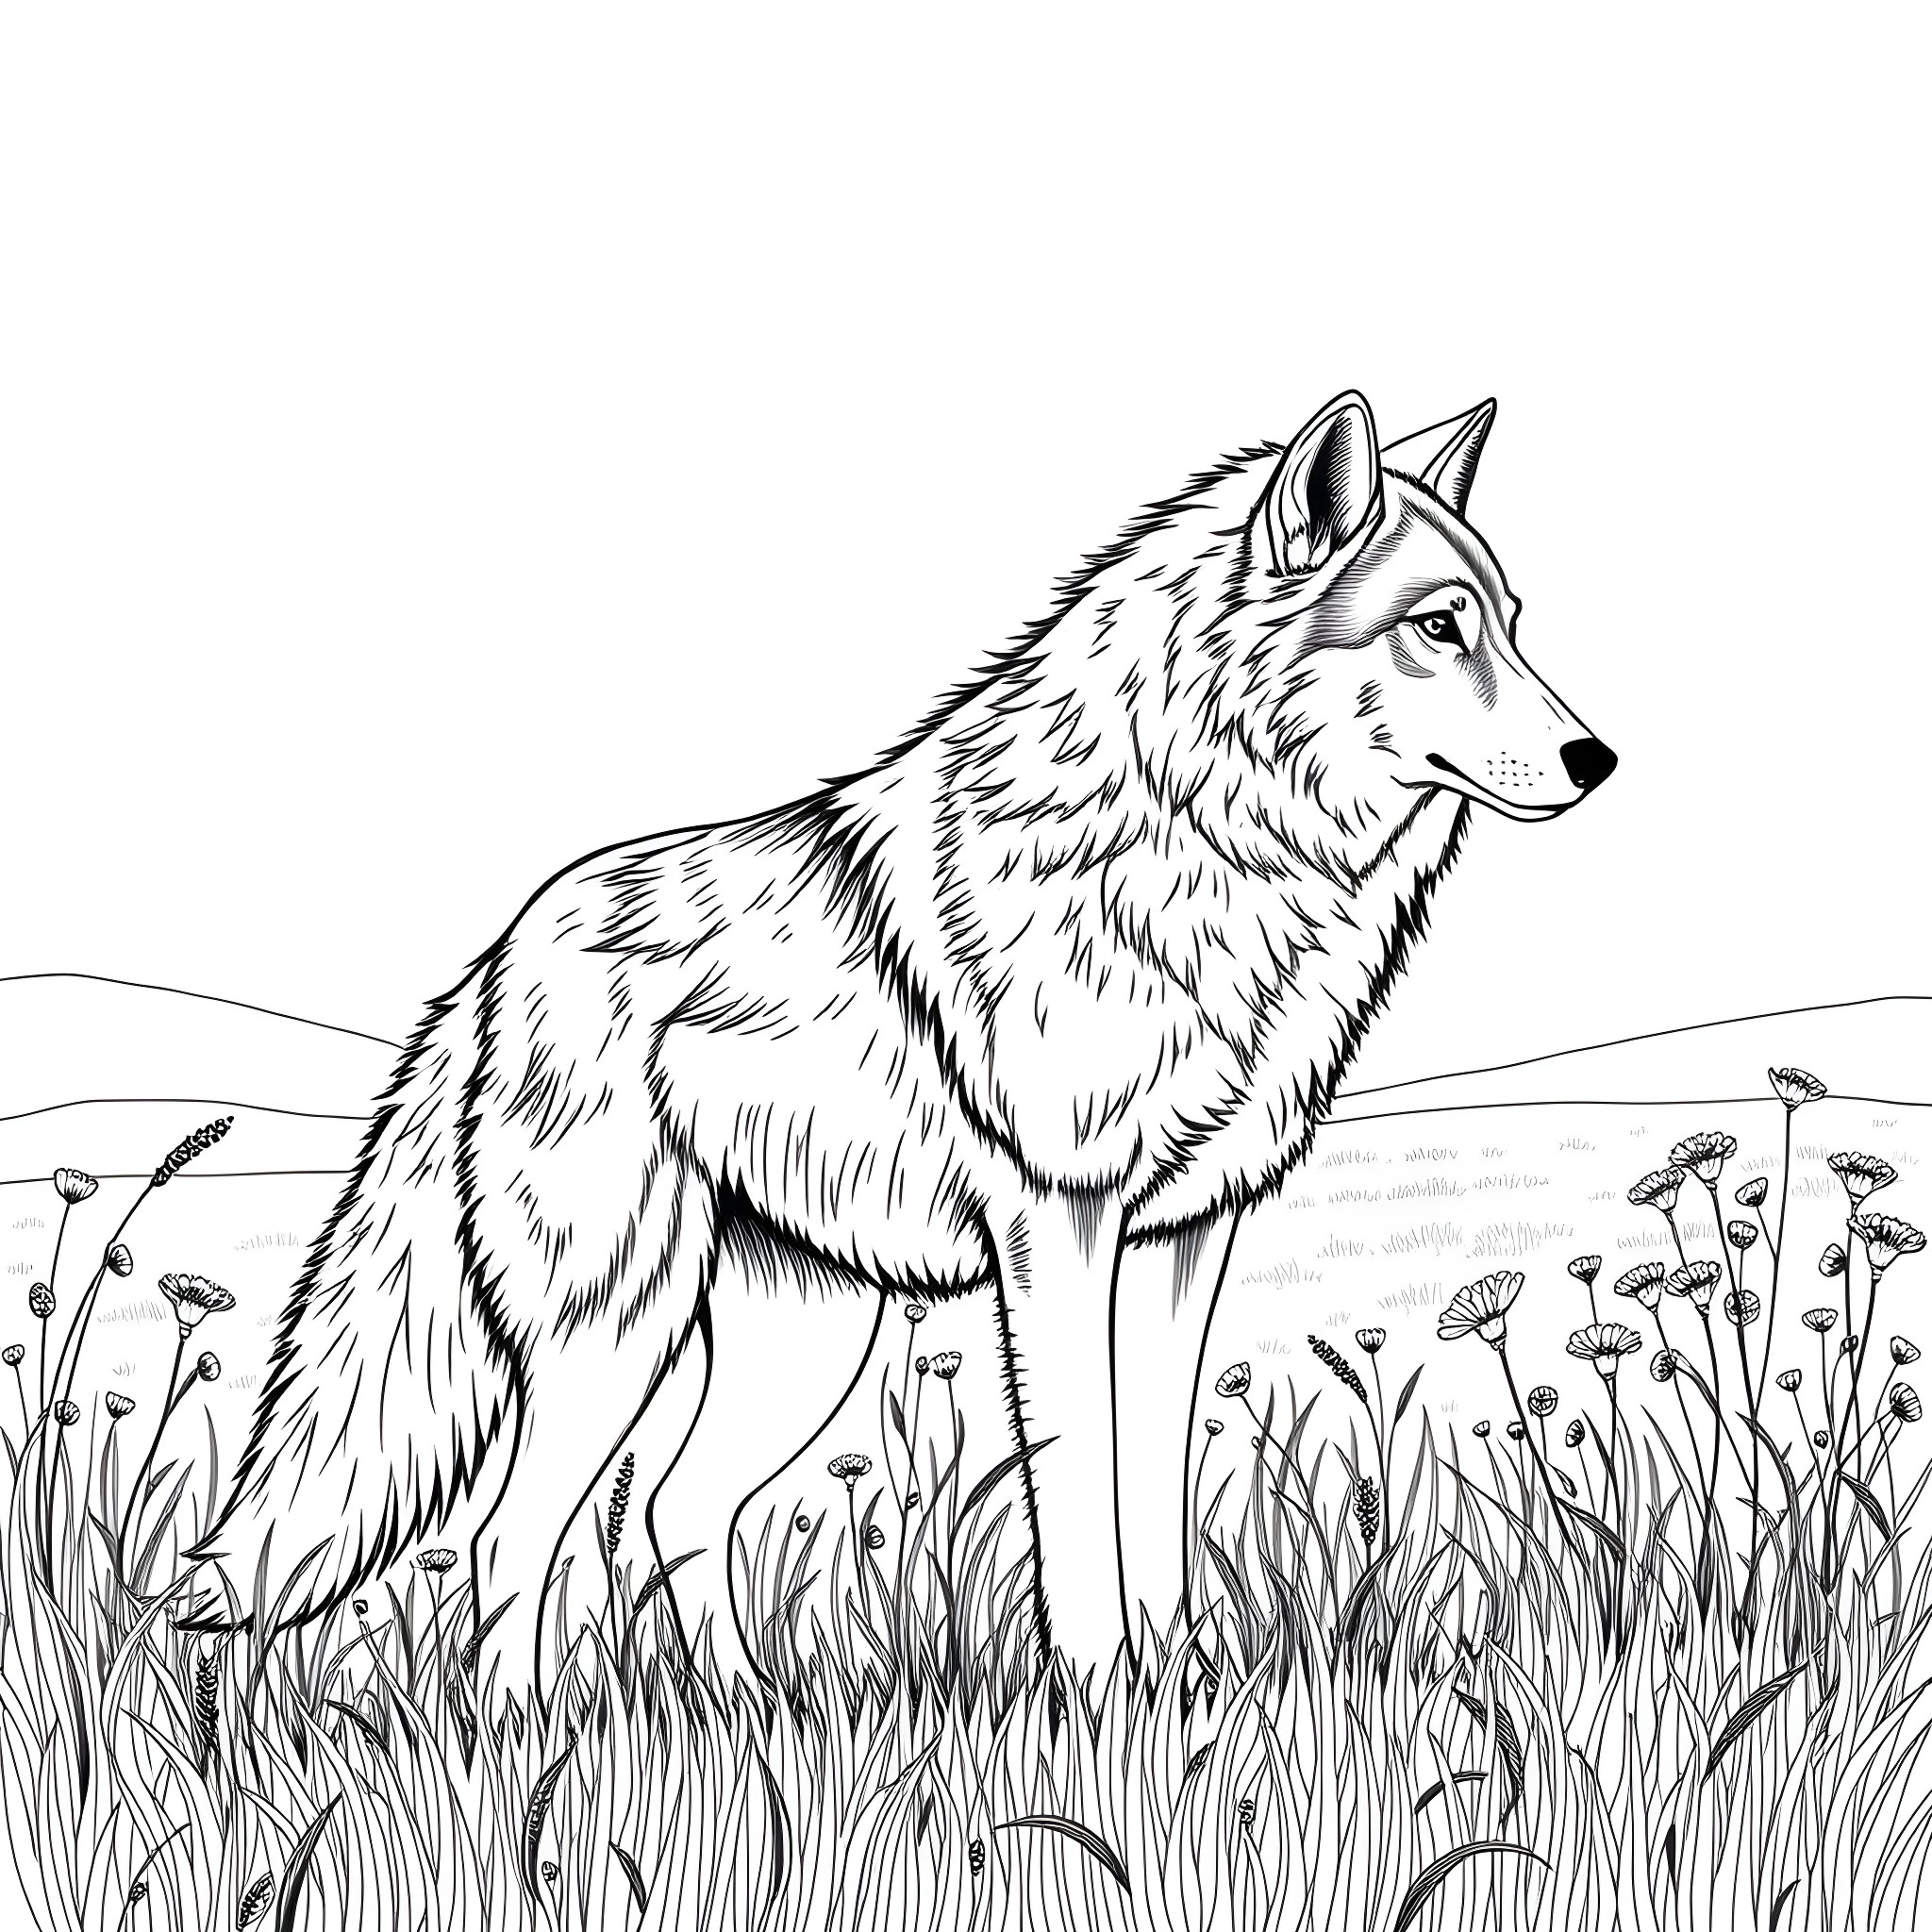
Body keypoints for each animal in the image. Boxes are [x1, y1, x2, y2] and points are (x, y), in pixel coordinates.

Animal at [195, 390, 1614, 1697]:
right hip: (616, 1330)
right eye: (1439, 627)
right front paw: (1097, 1713)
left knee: (672, 1508)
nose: (1595, 758)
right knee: (513, 1538)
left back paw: (753, 1721)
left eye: (1515, 624)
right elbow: (1078, 1505)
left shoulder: (1184, 1240)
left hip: (801, 1337)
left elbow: (1154, 1496)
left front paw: (1181, 1698)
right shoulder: (1059, 1230)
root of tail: (495, 960)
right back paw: (527, 1751)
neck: (1206, 841)